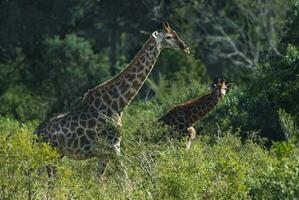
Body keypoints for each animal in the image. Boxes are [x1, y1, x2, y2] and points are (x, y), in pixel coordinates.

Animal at [34, 21, 190, 175]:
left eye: (176, 33)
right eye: (168, 37)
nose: (185, 48)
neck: (118, 104)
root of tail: (35, 133)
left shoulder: (104, 154)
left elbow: (99, 179)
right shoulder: (113, 147)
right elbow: (125, 177)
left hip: (55, 154)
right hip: (52, 153)